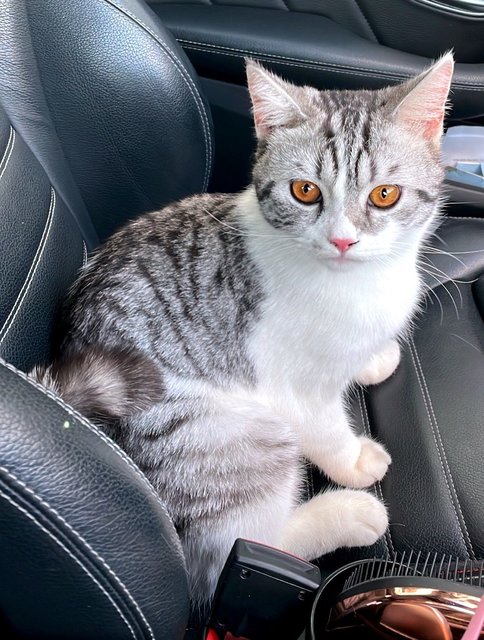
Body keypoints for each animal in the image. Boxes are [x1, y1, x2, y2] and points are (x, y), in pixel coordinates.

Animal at [33, 55, 454, 604]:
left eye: (385, 195)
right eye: (305, 191)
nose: (343, 240)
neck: (358, 283)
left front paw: (373, 358)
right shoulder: (291, 386)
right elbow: (324, 429)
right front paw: (352, 461)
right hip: (235, 435)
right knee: (237, 551)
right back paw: (349, 513)